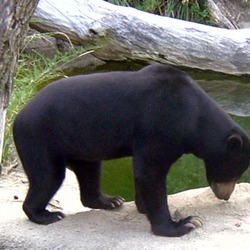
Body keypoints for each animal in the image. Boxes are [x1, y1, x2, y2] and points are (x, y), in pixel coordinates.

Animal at [13, 64, 250, 236]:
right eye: (233, 172)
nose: (225, 196)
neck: (193, 117)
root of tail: (18, 117)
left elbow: (141, 172)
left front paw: (143, 207)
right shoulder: (160, 123)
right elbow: (150, 171)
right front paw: (185, 223)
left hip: (81, 143)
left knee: (89, 171)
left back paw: (110, 200)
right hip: (40, 138)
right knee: (47, 176)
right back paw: (47, 215)